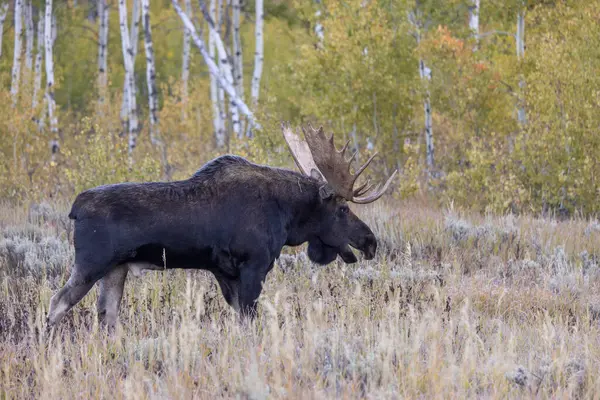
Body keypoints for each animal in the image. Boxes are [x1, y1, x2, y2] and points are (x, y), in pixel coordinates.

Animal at [45, 123, 394, 326]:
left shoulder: (225, 272)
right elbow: (249, 318)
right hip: (91, 263)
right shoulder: (254, 265)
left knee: (107, 313)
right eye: (343, 209)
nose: (370, 241)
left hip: (115, 270)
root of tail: (75, 209)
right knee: (57, 303)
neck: (287, 216)